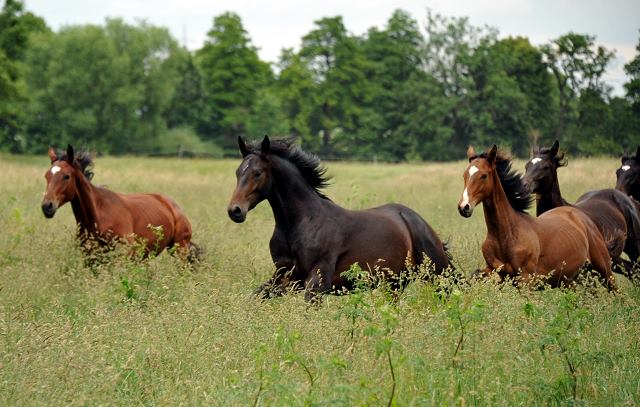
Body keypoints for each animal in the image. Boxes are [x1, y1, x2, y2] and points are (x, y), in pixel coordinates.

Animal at [43, 146, 198, 262]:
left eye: (66, 176)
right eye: (46, 176)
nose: (47, 206)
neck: (98, 216)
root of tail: (173, 206)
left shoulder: (123, 255)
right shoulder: (91, 259)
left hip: (180, 248)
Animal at [228, 135, 452, 302]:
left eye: (257, 173)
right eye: (238, 172)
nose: (235, 211)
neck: (301, 223)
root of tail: (415, 219)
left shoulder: (317, 281)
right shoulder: (284, 276)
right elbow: (254, 297)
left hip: (437, 271)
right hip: (394, 284)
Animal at [456, 146, 616, 290]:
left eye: (484, 175)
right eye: (464, 175)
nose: (464, 207)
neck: (506, 234)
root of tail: (581, 216)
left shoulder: (526, 279)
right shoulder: (495, 271)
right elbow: (475, 275)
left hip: (604, 269)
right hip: (570, 280)